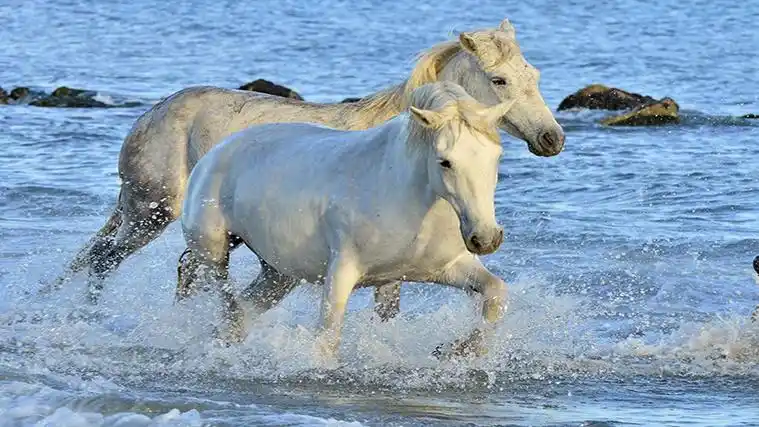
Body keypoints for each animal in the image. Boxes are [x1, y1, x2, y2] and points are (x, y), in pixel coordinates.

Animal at [51, 19, 565, 321]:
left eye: (535, 76)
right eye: (499, 80)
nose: (552, 139)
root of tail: (150, 114)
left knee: (179, 268)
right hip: (150, 213)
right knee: (105, 260)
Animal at [178, 81, 514, 360]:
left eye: (496, 156)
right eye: (445, 162)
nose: (485, 238)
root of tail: (212, 156)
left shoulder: (443, 268)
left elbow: (496, 292)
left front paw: (457, 350)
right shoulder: (342, 271)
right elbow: (327, 340)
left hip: (277, 274)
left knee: (242, 310)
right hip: (212, 249)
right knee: (225, 298)